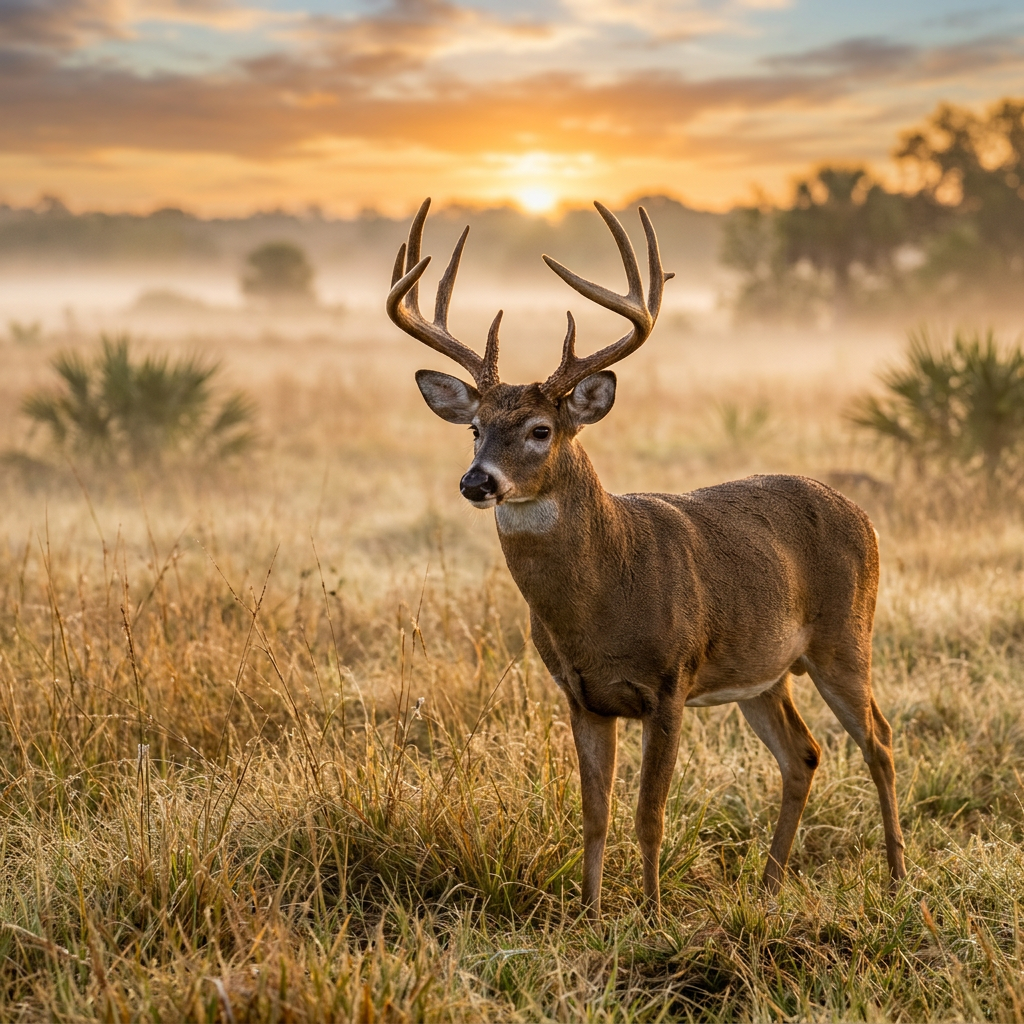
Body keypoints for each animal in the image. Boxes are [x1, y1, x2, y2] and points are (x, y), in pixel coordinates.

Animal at [385, 197, 907, 921]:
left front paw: (655, 915)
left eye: (540, 430)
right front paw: (589, 913)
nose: (476, 482)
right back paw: (768, 888)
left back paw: (898, 880)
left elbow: (649, 814)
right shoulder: (582, 695)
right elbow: (595, 814)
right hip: (765, 673)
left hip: (845, 639)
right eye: (474, 429)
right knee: (803, 754)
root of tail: (864, 515)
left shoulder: (670, 683)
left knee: (880, 740)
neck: (606, 596)